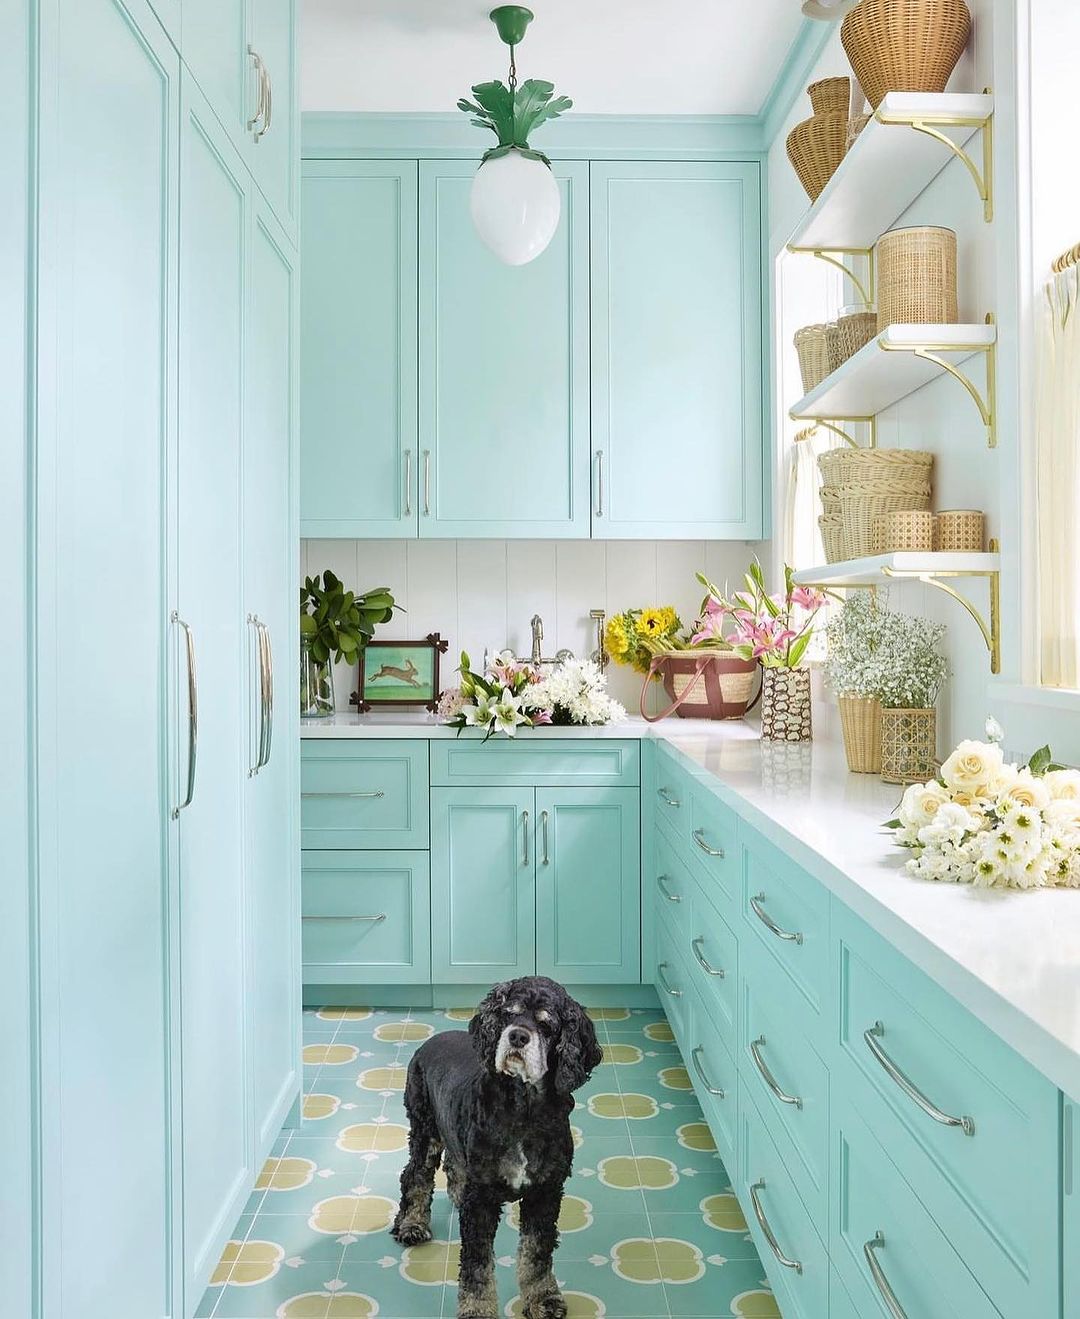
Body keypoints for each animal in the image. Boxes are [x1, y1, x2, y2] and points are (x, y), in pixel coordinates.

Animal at [390, 976, 609, 1313]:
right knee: (415, 1175)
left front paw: (544, 1299)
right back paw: (411, 1225)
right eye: (508, 1014)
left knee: (452, 1164)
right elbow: (477, 1265)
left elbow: (536, 1253)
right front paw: (476, 1309)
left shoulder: (546, 1192)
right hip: (424, 1127)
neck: (522, 1109)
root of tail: (431, 1041)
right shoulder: (481, 1200)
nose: (517, 1036)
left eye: (547, 1024)